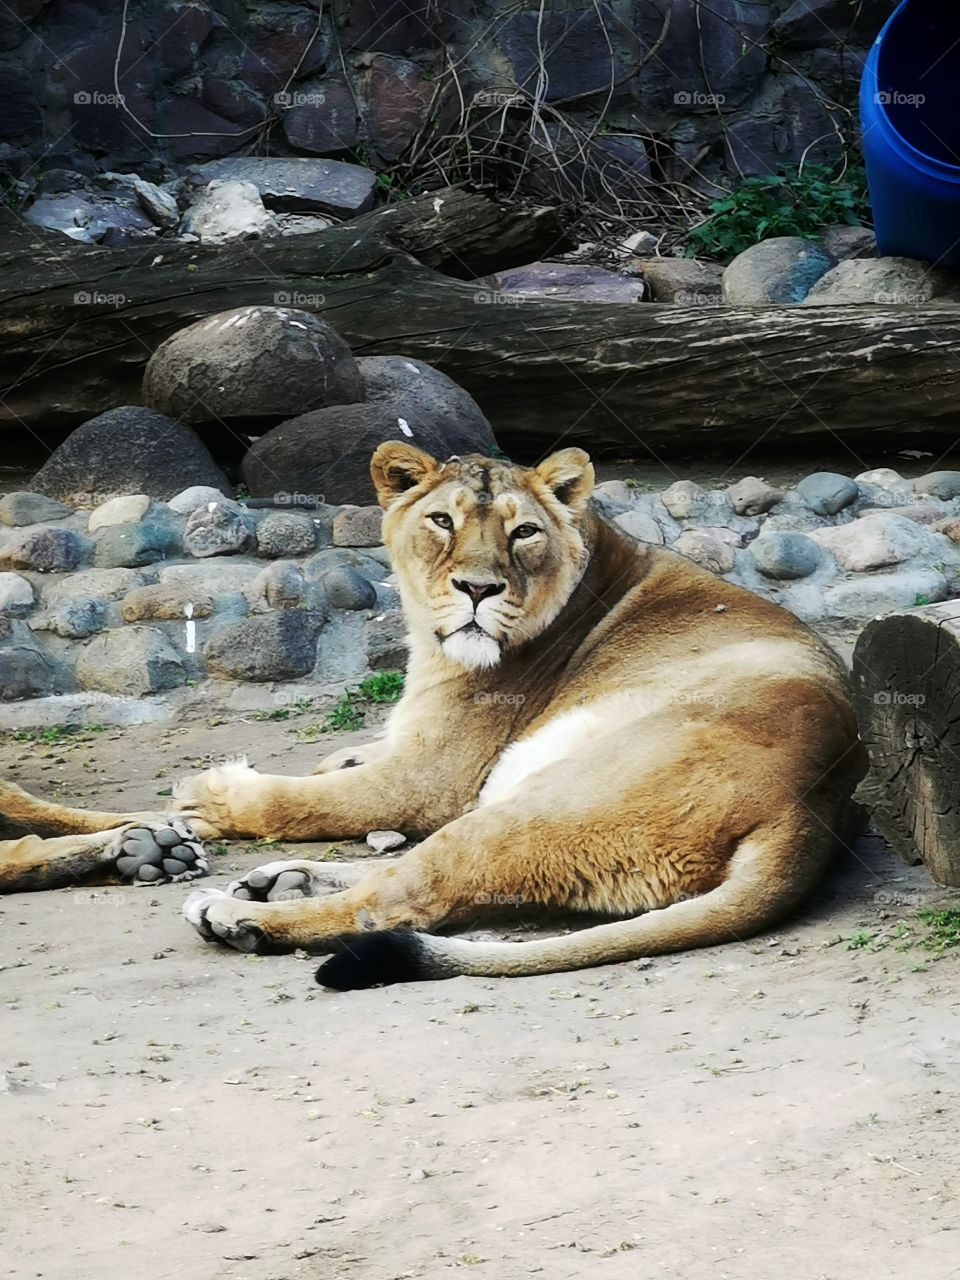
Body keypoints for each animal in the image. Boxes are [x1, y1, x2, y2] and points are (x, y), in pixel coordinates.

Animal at [1, 444, 866, 990]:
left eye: (523, 531)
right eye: (443, 521)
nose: (479, 590)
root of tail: (813, 808)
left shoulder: (430, 777)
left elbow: (306, 800)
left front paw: (210, 796)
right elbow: (341, 766)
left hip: (544, 801)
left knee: (401, 897)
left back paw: (239, 911)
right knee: (408, 874)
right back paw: (274, 882)